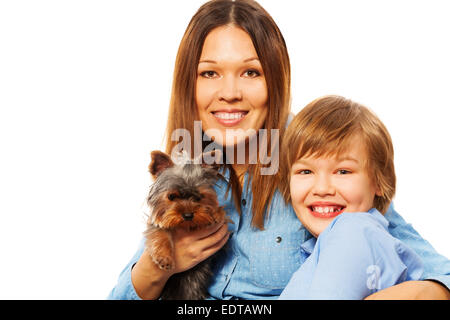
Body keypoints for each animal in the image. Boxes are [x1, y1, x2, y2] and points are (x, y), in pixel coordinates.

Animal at [145, 150, 229, 300]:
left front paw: (215, 214)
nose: (188, 215)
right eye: (171, 197)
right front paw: (164, 258)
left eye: (199, 197)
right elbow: (159, 232)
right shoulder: (156, 223)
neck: (185, 226)